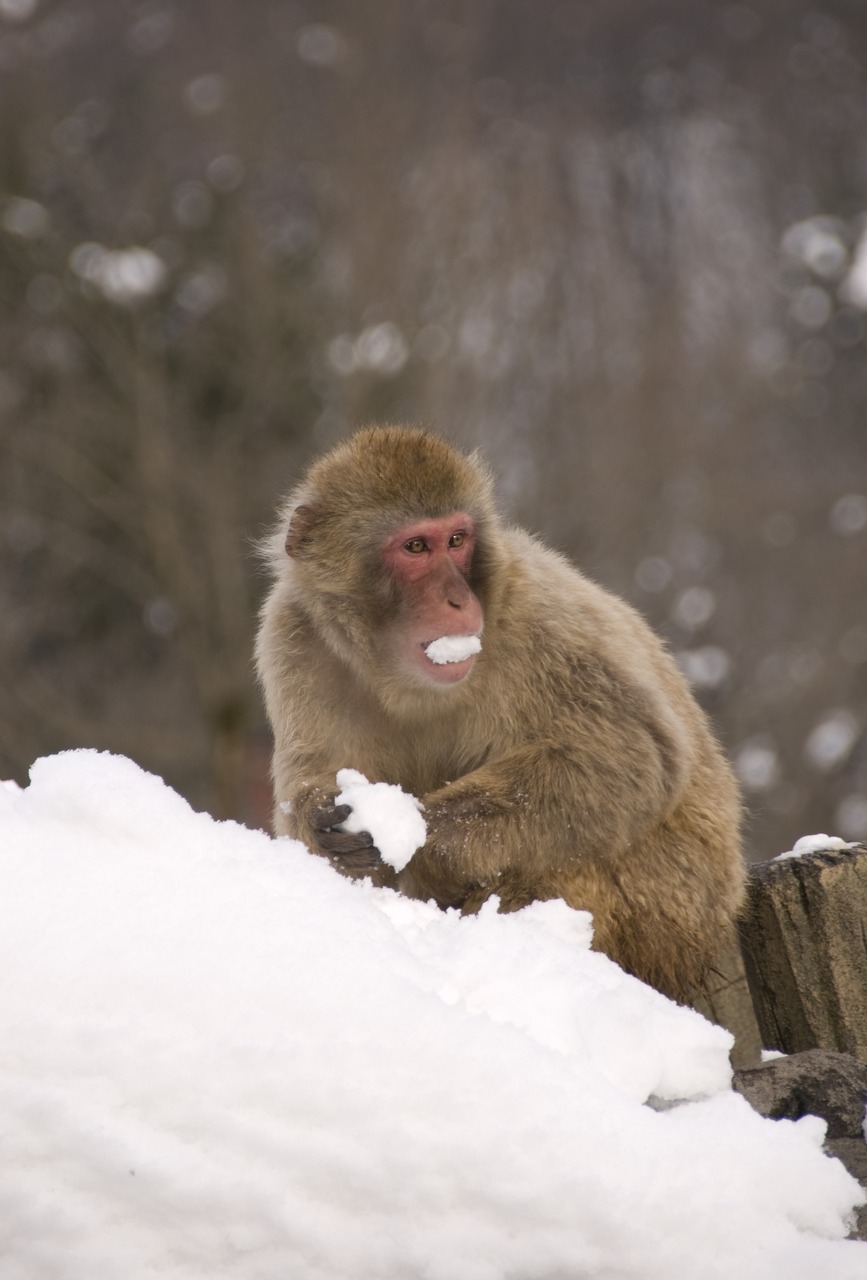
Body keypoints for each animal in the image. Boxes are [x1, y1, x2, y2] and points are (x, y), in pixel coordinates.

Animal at [254, 424, 742, 1003]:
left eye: (457, 540)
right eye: (416, 546)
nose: (459, 600)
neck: (408, 682)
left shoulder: (536, 614)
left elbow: (633, 756)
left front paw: (411, 827)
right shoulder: (292, 635)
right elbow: (308, 783)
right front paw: (320, 815)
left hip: (673, 911)